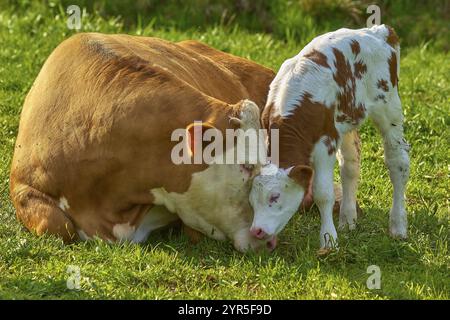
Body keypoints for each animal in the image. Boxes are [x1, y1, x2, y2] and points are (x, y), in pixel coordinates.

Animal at [250, 25, 412, 250]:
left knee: (398, 162)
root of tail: (378, 31)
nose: (256, 231)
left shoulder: (325, 143)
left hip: (388, 106)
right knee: (351, 165)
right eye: (251, 200)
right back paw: (348, 219)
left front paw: (328, 240)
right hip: (347, 119)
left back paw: (398, 225)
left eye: (275, 196)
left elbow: (323, 193)